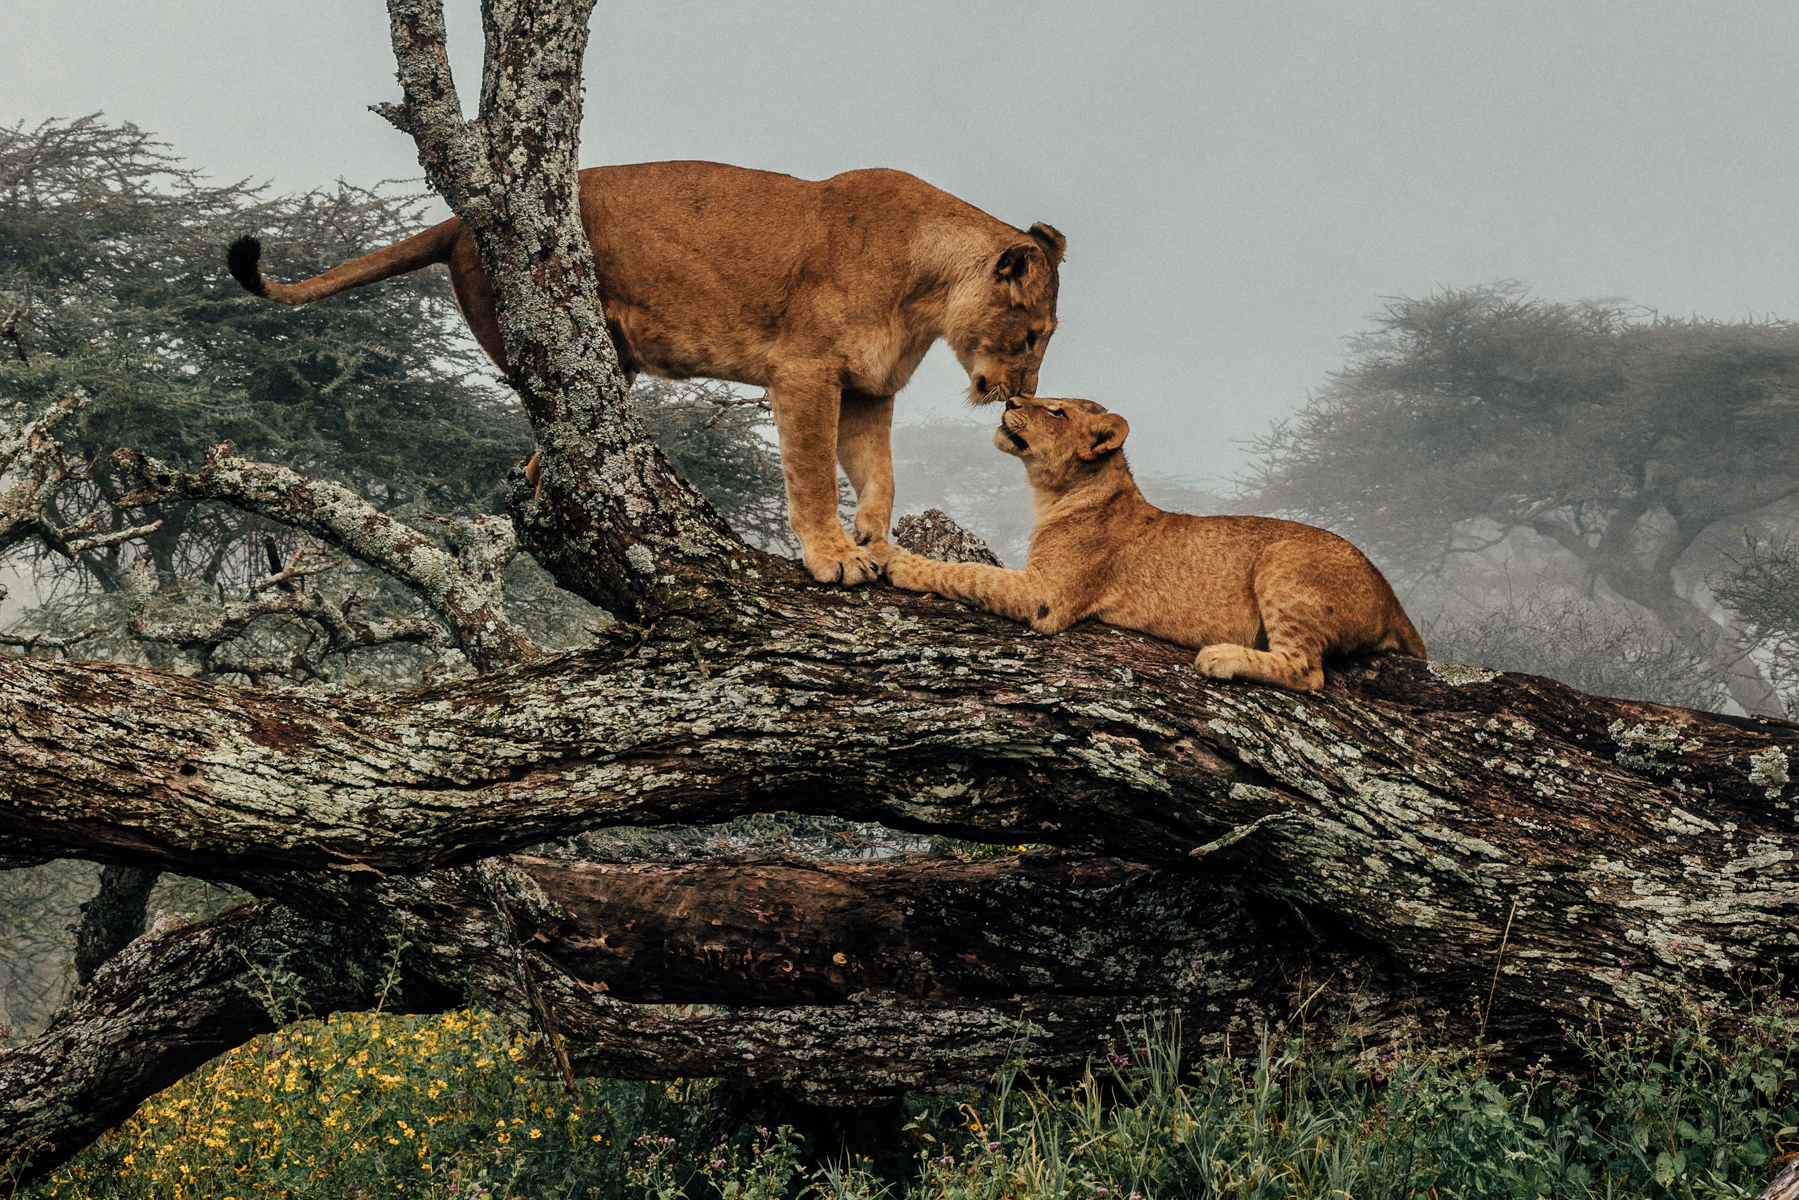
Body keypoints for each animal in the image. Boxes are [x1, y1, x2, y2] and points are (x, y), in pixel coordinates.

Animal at [227, 160, 1065, 585]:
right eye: (1033, 335)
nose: (1021, 397)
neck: (927, 290)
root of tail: (460, 221)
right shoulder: (803, 372)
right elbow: (809, 476)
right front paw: (833, 555)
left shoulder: (866, 389)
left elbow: (880, 475)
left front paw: (876, 541)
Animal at [872, 397, 1425, 690]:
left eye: (1056, 410)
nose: (1009, 400)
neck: (1057, 494)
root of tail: (1393, 598)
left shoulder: (1047, 598)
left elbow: (972, 573)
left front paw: (899, 562)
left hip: (1284, 559)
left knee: (1308, 671)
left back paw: (1221, 657)